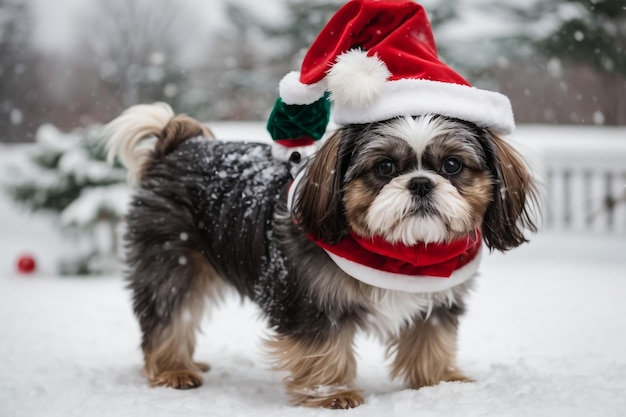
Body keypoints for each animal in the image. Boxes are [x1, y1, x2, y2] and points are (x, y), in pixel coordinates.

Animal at [106, 0, 536, 410]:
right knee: (168, 315)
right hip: (171, 259)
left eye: (452, 165)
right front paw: (330, 394)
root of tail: (177, 144)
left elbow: (430, 340)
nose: (420, 182)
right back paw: (173, 369)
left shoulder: (438, 301)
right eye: (384, 167)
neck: (399, 253)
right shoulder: (310, 299)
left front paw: (441, 384)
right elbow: (323, 348)